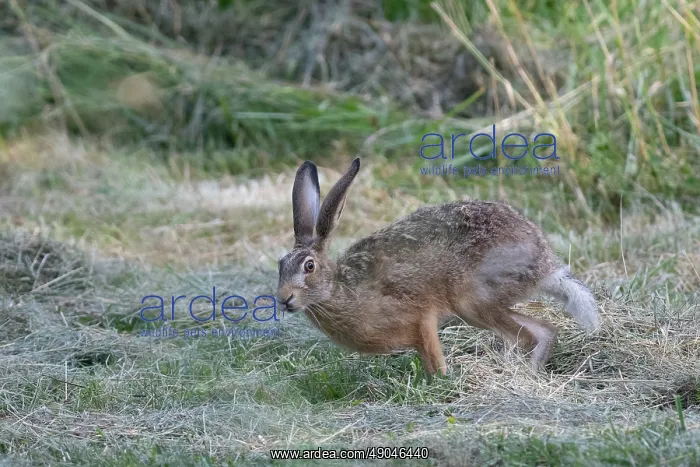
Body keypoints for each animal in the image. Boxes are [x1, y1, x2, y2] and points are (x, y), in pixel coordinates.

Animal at [276, 158, 600, 375]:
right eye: (280, 265)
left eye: (308, 266)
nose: (283, 299)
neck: (338, 289)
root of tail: (544, 263)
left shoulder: (422, 318)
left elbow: (434, 357)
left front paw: (442, 381)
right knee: (544, 331)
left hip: (472, 300)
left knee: (532, 335)